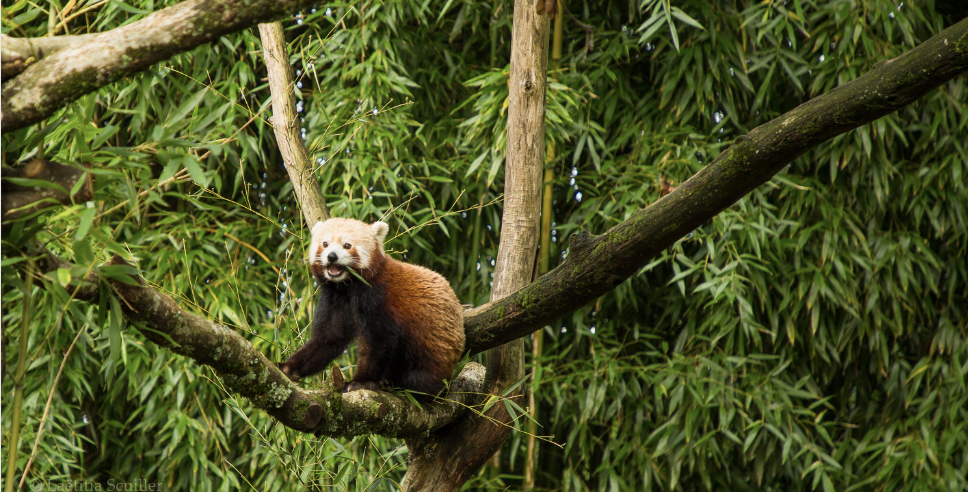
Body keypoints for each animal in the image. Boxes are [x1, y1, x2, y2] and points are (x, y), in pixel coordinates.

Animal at [278, 218, 466, 396]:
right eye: (325, 244)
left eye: (347, 245)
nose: (332, 256)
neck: (348, 286)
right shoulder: (335, 300)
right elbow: (329, 338)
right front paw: (289, 367)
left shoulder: (377, 298)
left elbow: (378, 342)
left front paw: (361, 382)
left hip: (432, 354)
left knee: (420, 377)